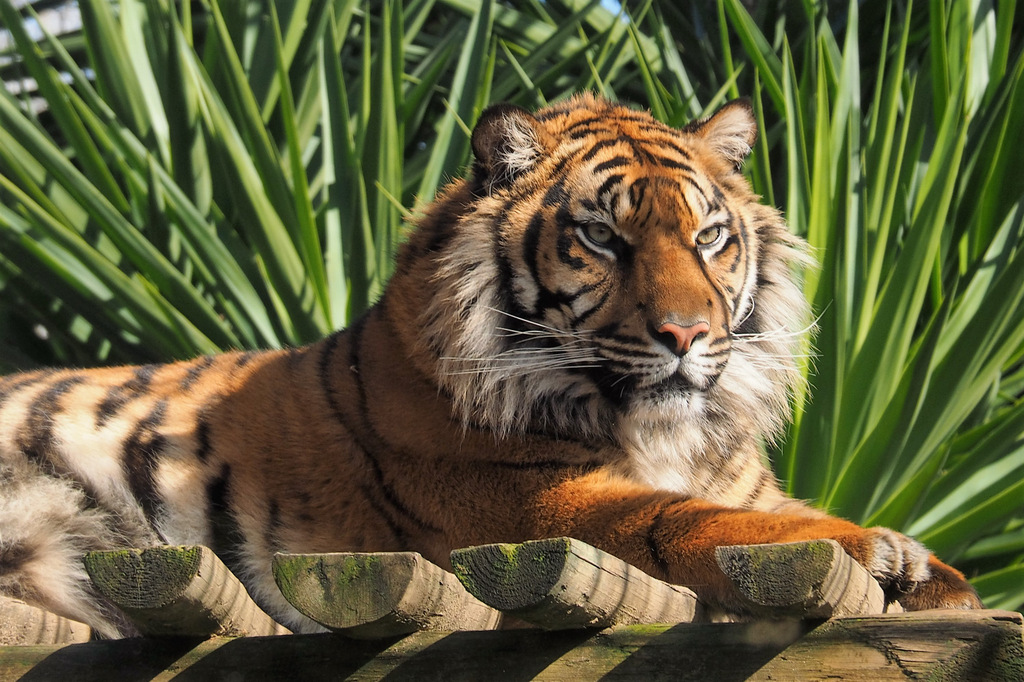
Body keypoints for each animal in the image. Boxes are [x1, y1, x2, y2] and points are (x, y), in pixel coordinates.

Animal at [0, 94, 981, 638]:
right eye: (603, 237)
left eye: (708, 238)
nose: (688, 335)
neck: (664, 433)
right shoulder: (530, 501)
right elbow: (686, 520)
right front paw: (876, 551)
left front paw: (932, 573)